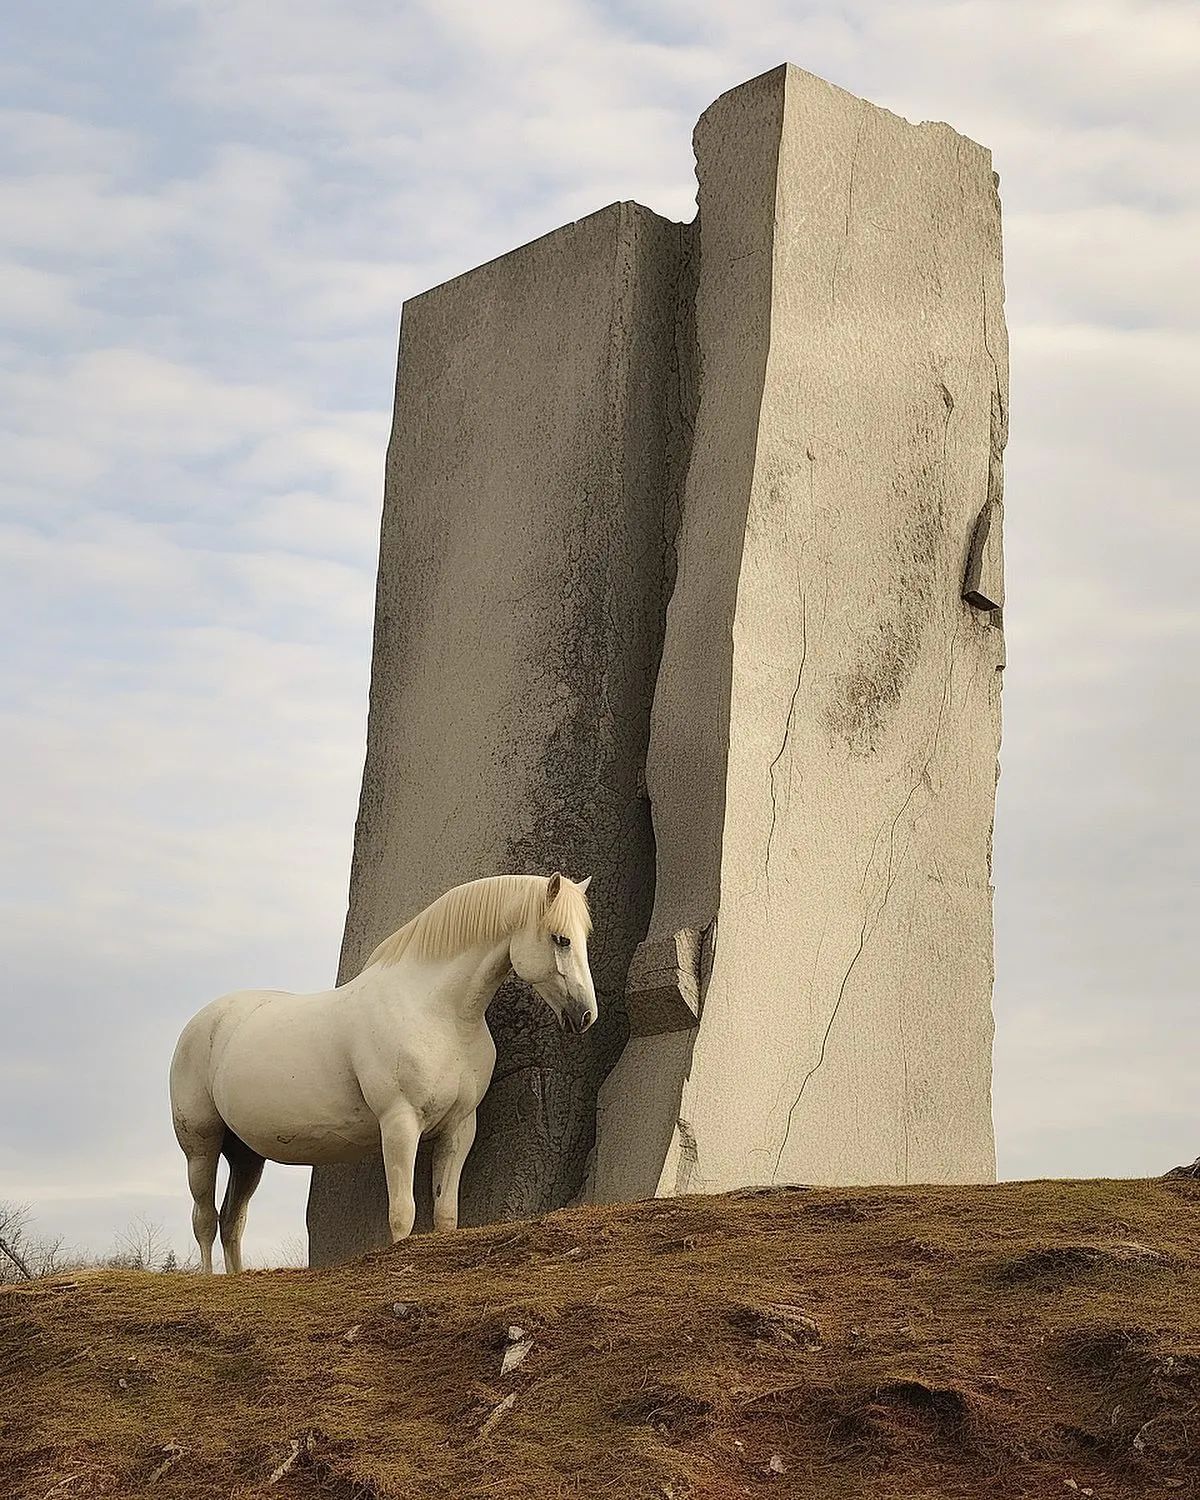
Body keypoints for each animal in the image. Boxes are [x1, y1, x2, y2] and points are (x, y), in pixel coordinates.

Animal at [166, 876, 597, 1272]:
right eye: (561, 939)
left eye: (582, 938)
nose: (585, 1015)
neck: (437, 1012)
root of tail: (202, 1021)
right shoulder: (399, 1124)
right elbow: (403, 1212)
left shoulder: (459, 1128)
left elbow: (445, 1213)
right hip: (201, 1147)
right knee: (205, 1219)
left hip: (246, 1155)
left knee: (232, 1221)